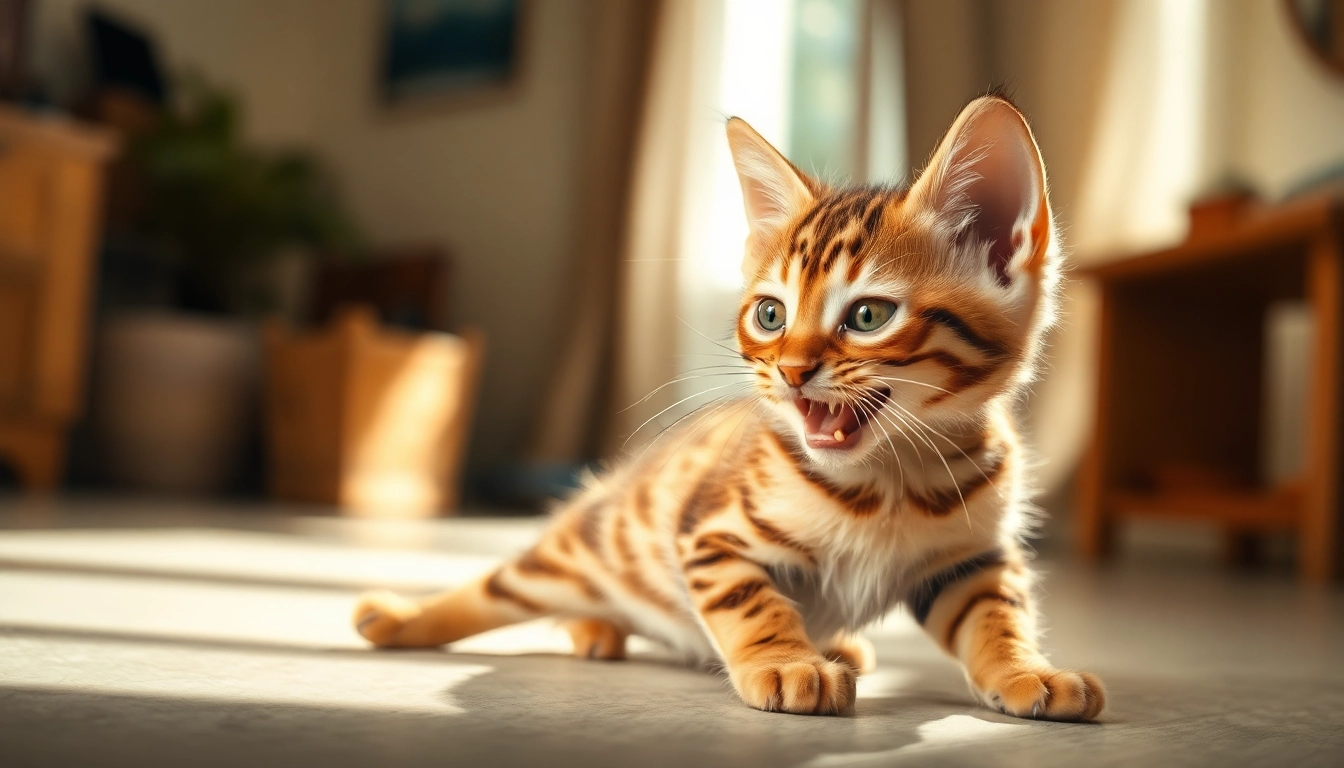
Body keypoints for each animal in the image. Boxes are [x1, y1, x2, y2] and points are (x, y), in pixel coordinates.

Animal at [354, 96, 1102, 720]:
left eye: (868, 315)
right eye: (771, 314)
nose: (792, 370)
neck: (888, 483)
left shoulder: (969, 558)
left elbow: (997, 614)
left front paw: (1026, 670)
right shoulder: (709, 534)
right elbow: (751, 600)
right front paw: (786, 662)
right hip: (584, 547)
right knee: (498, 587)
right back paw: (403, 619)